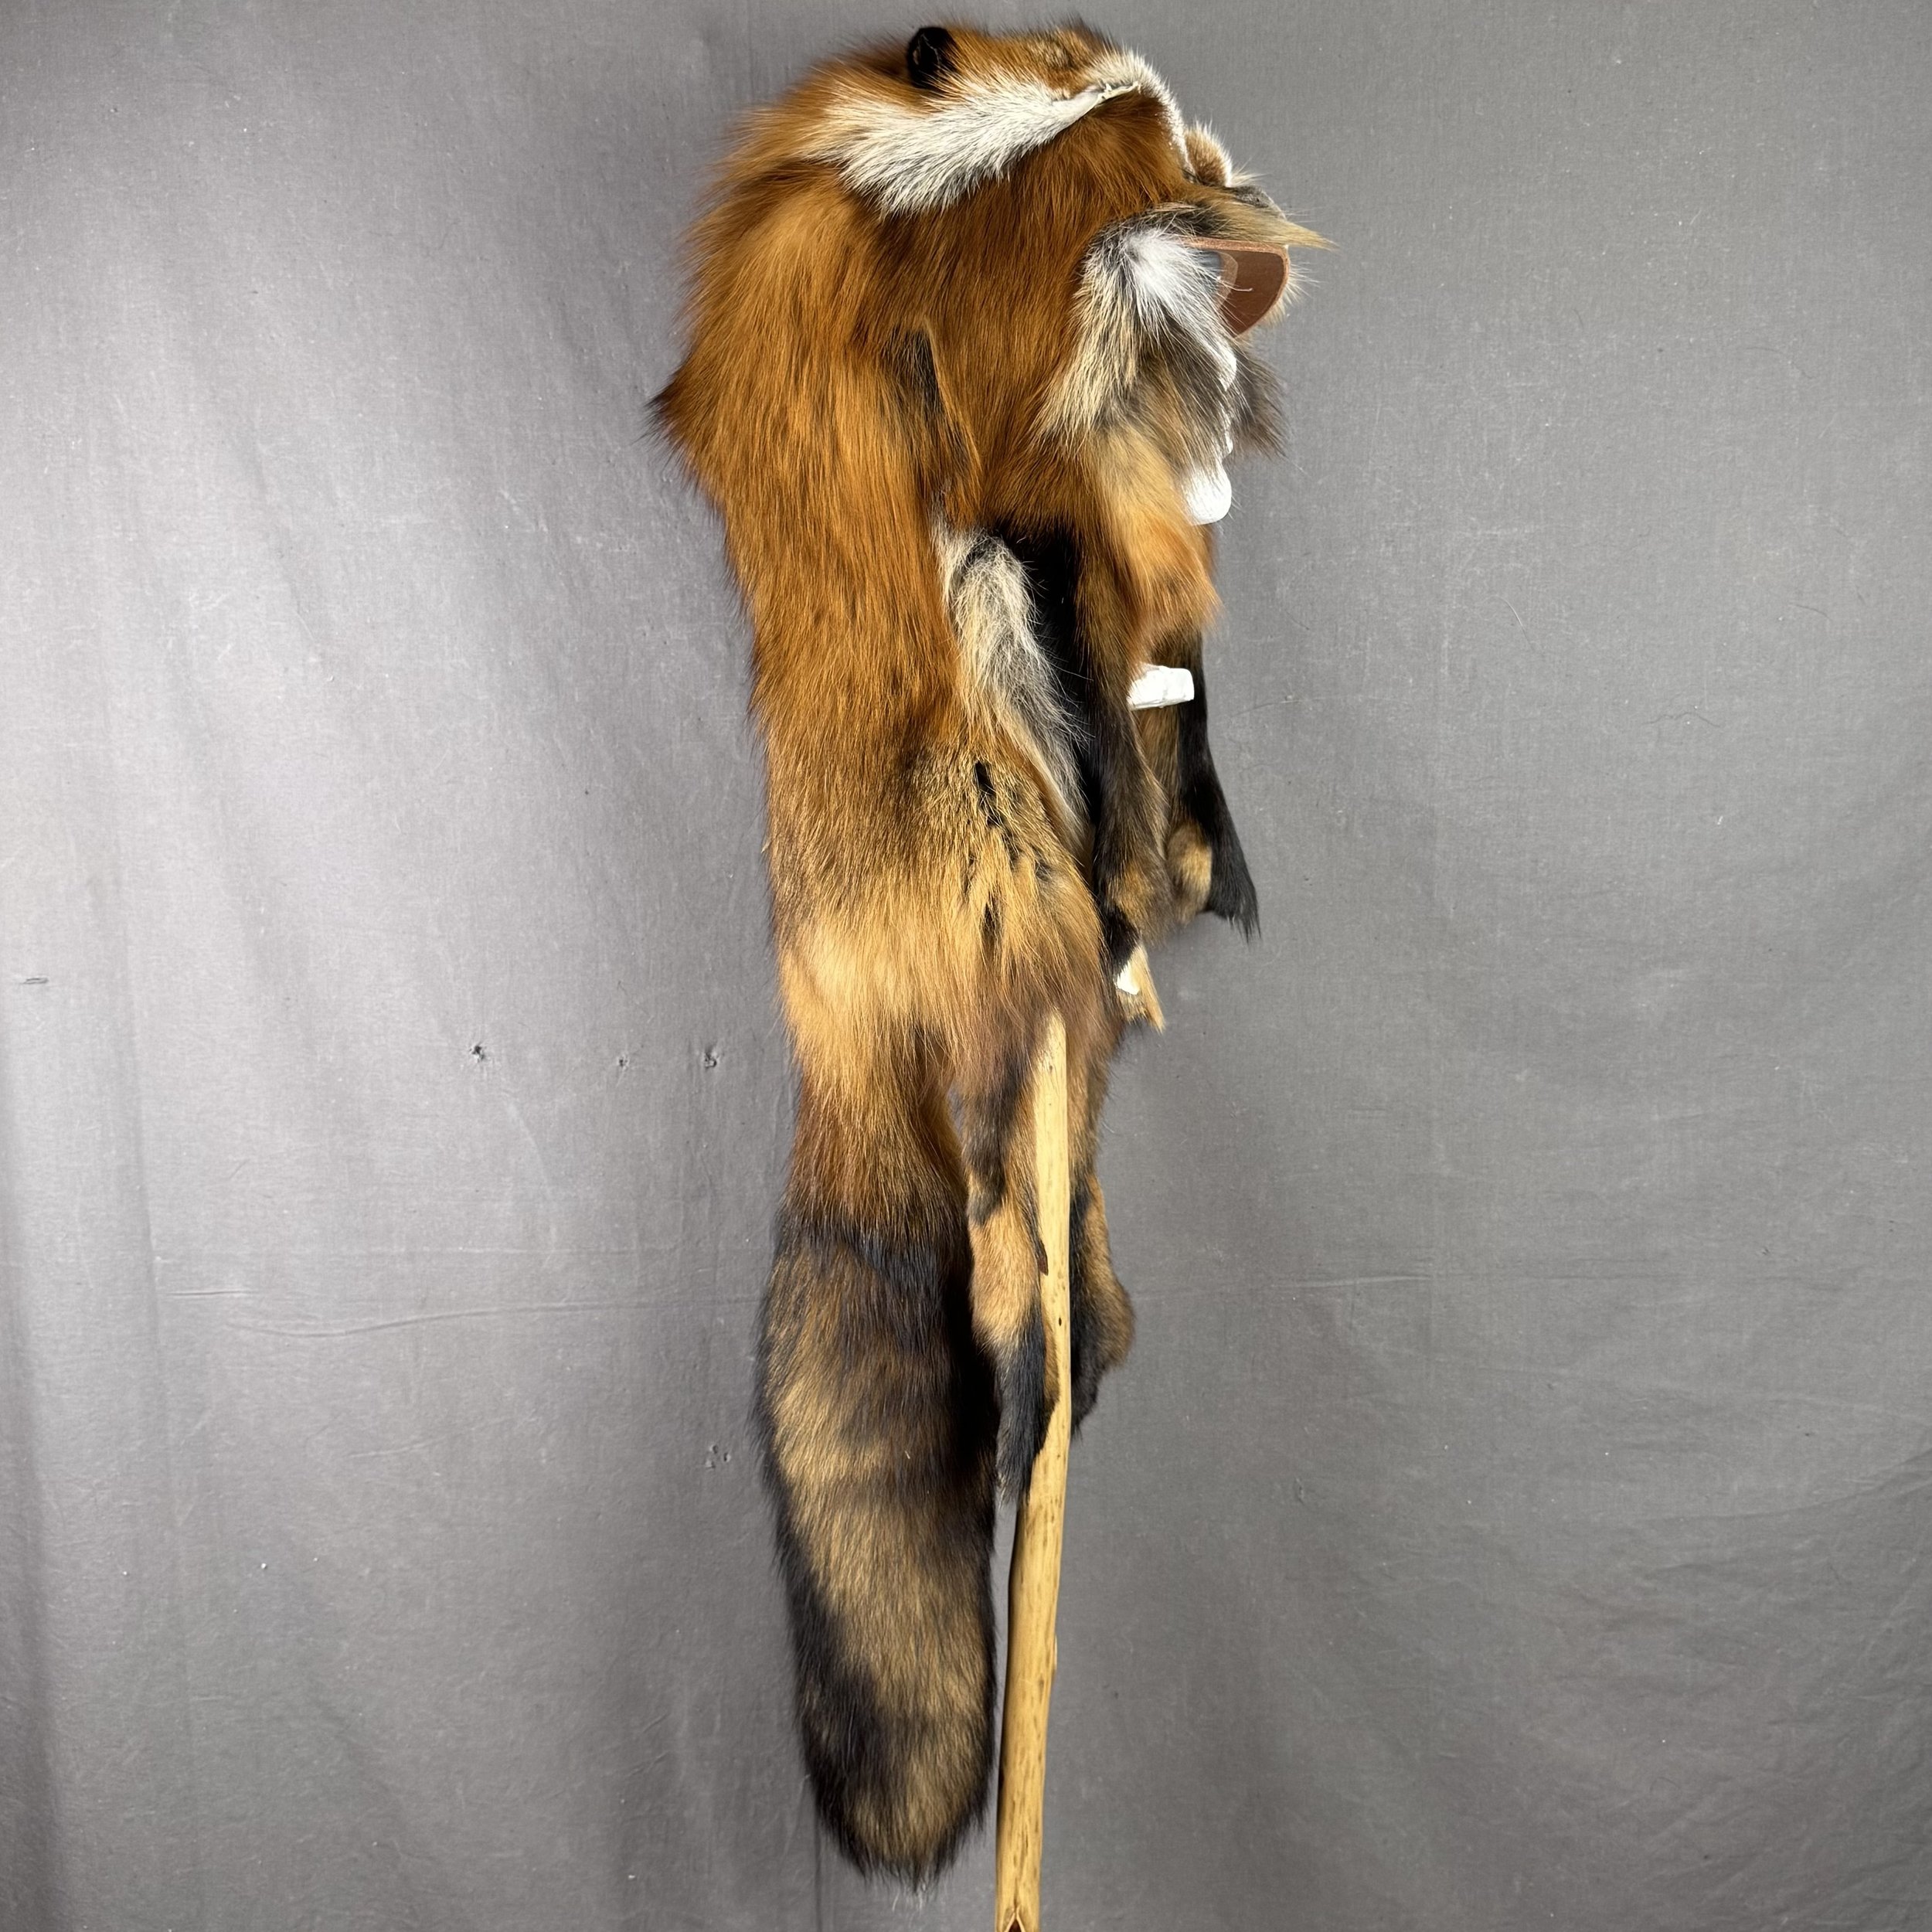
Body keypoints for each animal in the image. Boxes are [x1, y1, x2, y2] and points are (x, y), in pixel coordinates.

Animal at [657, 21, 1320, 1880]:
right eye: (1159, 175)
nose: (1232, 209)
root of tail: (824, 990)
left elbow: (1164, 706)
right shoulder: (1023, 479)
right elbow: (1094, 613)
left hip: (1055, 1062)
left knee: (1073, 1243)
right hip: (997, 959)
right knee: (1002, 1271)